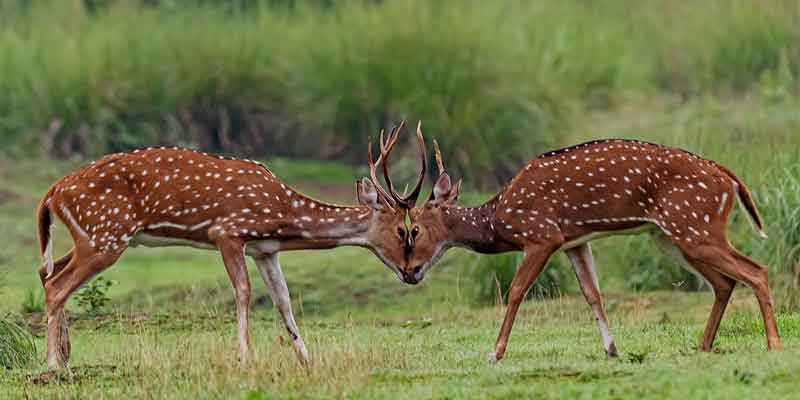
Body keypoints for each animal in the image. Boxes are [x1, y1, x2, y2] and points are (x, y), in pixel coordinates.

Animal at [36, 121, 424, 368]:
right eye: (402, 231)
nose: (413, 273)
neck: (283, 215)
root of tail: (52, 192)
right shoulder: (228, 232)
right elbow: (244, 291)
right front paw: (244, 355)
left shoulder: (266, 249)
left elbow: (283, 300)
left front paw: (306, 358)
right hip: (107, 235)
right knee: (57, 285)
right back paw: (54, 363)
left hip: (92, 235)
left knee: (47, 271)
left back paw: (65, 353)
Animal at [400, 134, 780, 362]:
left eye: (413, 229)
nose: (408, 273)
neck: (499, 220)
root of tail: (729, 180)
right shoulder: (575, 242)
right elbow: (592, 293)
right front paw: (612, 350)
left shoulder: (542, 235)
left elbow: (516, 291)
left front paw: (495, 353)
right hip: (672, 237)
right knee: (724, 282)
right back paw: (703, 345)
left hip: (695, 227)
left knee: (756, 271)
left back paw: (773, 343)